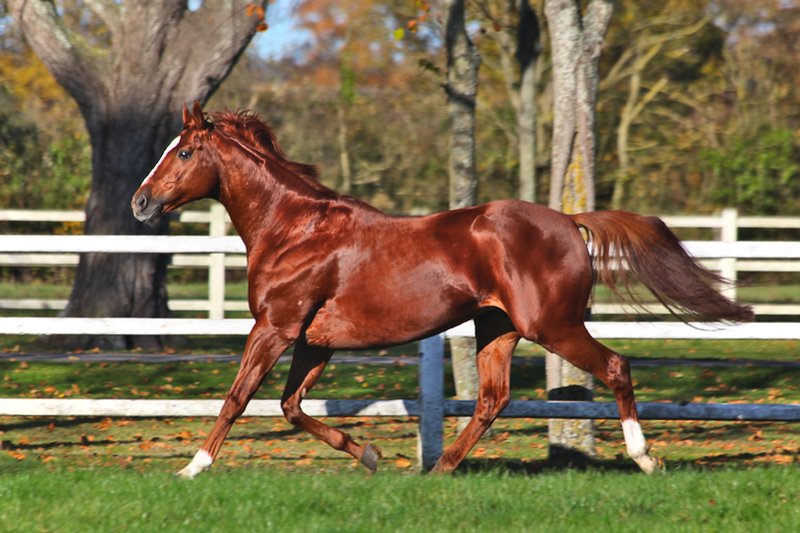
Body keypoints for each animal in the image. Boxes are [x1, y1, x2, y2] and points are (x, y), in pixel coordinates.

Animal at [132, 102, 753, 478]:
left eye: (183, 152)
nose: (141, 203)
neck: (295, 229)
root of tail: (569, 220)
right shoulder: (314, 341)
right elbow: (289, 406)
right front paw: (371, 454)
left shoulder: (275, 327)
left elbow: (239, 398)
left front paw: (191, 468)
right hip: (498, 328)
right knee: (492, 399)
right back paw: (438, 469)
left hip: (551, 325)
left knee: (616, 367)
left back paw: (646, 459)